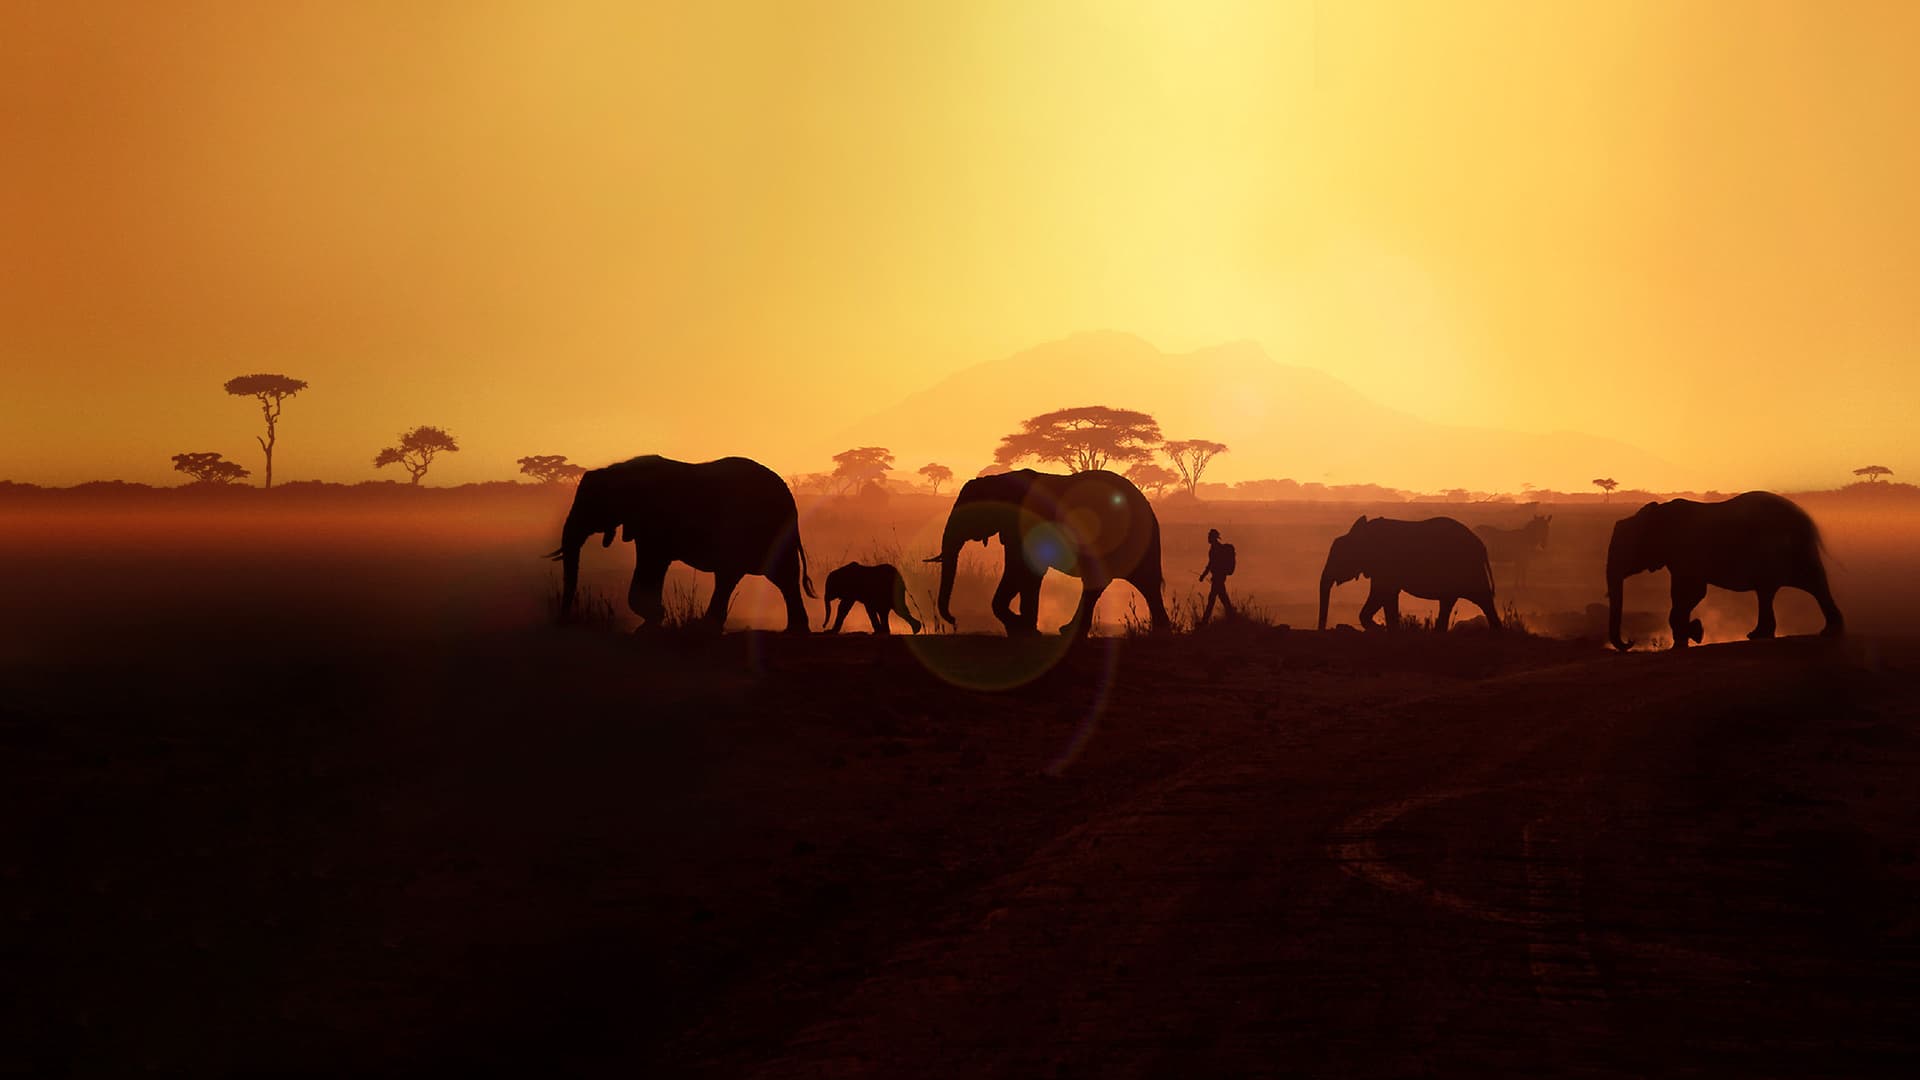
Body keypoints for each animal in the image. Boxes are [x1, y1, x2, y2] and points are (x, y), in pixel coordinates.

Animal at [549, 455, 815, 632]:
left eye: (590, 505)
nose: (564, 621)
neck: (619, 471)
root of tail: (790, 500)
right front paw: (652, 621)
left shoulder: (655, 520)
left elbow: (652, 562)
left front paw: (653, 620)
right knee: (772, 576)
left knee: (746, 574)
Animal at [927, 469, 1172, 638]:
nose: (954, 620)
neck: (999, 479)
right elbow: (1021, 572)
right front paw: (1022, 630)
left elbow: (1023, 571)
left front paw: (1023, 628)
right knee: (1127, 583)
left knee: (1138, 581)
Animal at [1317, 515, 1501, 633]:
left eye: (1338, 557)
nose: (1322, 630)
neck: (1361, 533)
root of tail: (1481, 546)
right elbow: (1387, 596)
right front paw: (1389, 630)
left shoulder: (1384, 563)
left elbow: (1382, 593)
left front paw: (1382, 629)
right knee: (1455, 600)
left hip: (1467, 567)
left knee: (1481, 598)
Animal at [1605, 491, 1843, 651]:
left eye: (1624, 549)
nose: (1631, 641)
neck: (1655, 515)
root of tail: (1807, 519)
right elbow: (1688, 594)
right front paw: (1691, 634)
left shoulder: (1687, 551)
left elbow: (1690, 593)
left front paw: (1692, 634)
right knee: (1787, 588)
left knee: (1794, 586)